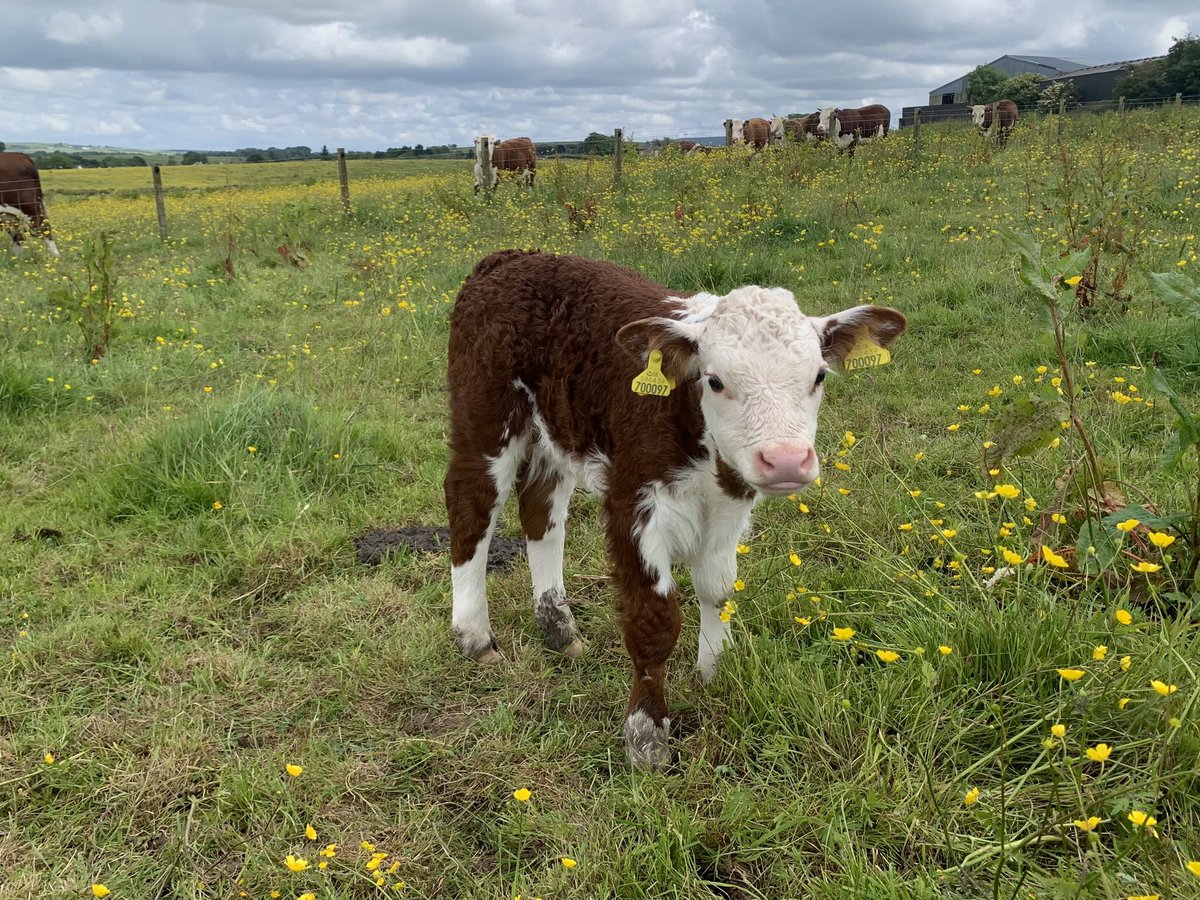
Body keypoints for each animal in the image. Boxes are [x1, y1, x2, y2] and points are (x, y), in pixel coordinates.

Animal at [444, 249, 907, 768]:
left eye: (819, 376)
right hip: (485, 413)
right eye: (715, 380)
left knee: (541, 511)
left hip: (556, 430)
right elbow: (655, 621)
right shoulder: (633, 507)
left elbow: (718, 590)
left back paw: (559, 630)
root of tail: (510, 257)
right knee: (471, 506)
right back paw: (474, 635)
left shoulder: (730, 507)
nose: (787, 459)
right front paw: (646, 736)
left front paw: (714, 674)